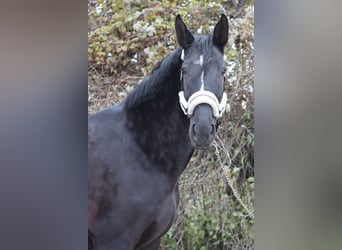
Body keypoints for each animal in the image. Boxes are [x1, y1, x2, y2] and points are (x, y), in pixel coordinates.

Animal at [88, 14, 228, 250]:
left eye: (223, 71)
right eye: (184, 71)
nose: (201, 130)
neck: (141, 151)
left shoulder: (152, 241)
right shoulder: (114, 241)